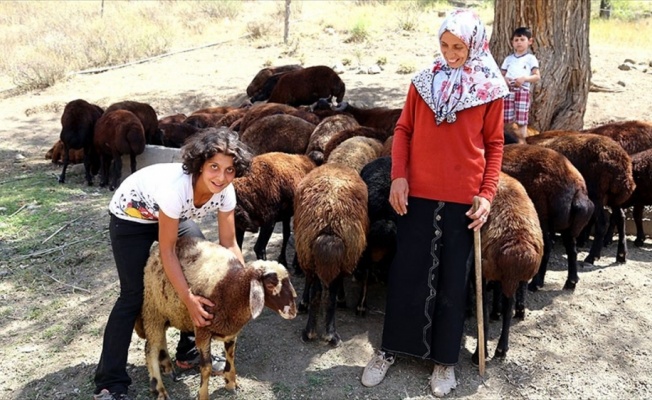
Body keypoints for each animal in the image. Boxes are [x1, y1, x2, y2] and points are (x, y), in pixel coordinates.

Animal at [138, 236, 300, 400]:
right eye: (270, 284)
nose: (293, 311)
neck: (231, 288)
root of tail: (155, 251)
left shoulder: (231, 331)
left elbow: (231, 356)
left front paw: (231, 383)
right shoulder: (202, 329)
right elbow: (206, 367)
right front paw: (203, 395)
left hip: (166, 313)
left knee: (160, 341)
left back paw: (167, 367)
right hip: (153, 310)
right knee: (150, 349)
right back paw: (159, 389)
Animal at [294, 163, 370, 346]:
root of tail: (329, 219)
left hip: (311, 253)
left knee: (318, 292)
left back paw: (312, 332)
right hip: (341, 255)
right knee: (328, 292)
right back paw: (328, 333)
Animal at [502, 144, 592, 290]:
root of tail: (578, 189)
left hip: (542, 217)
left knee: (547, 246)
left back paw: (536, 283)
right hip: (568, 226)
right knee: (571, 249)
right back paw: (571, 282)